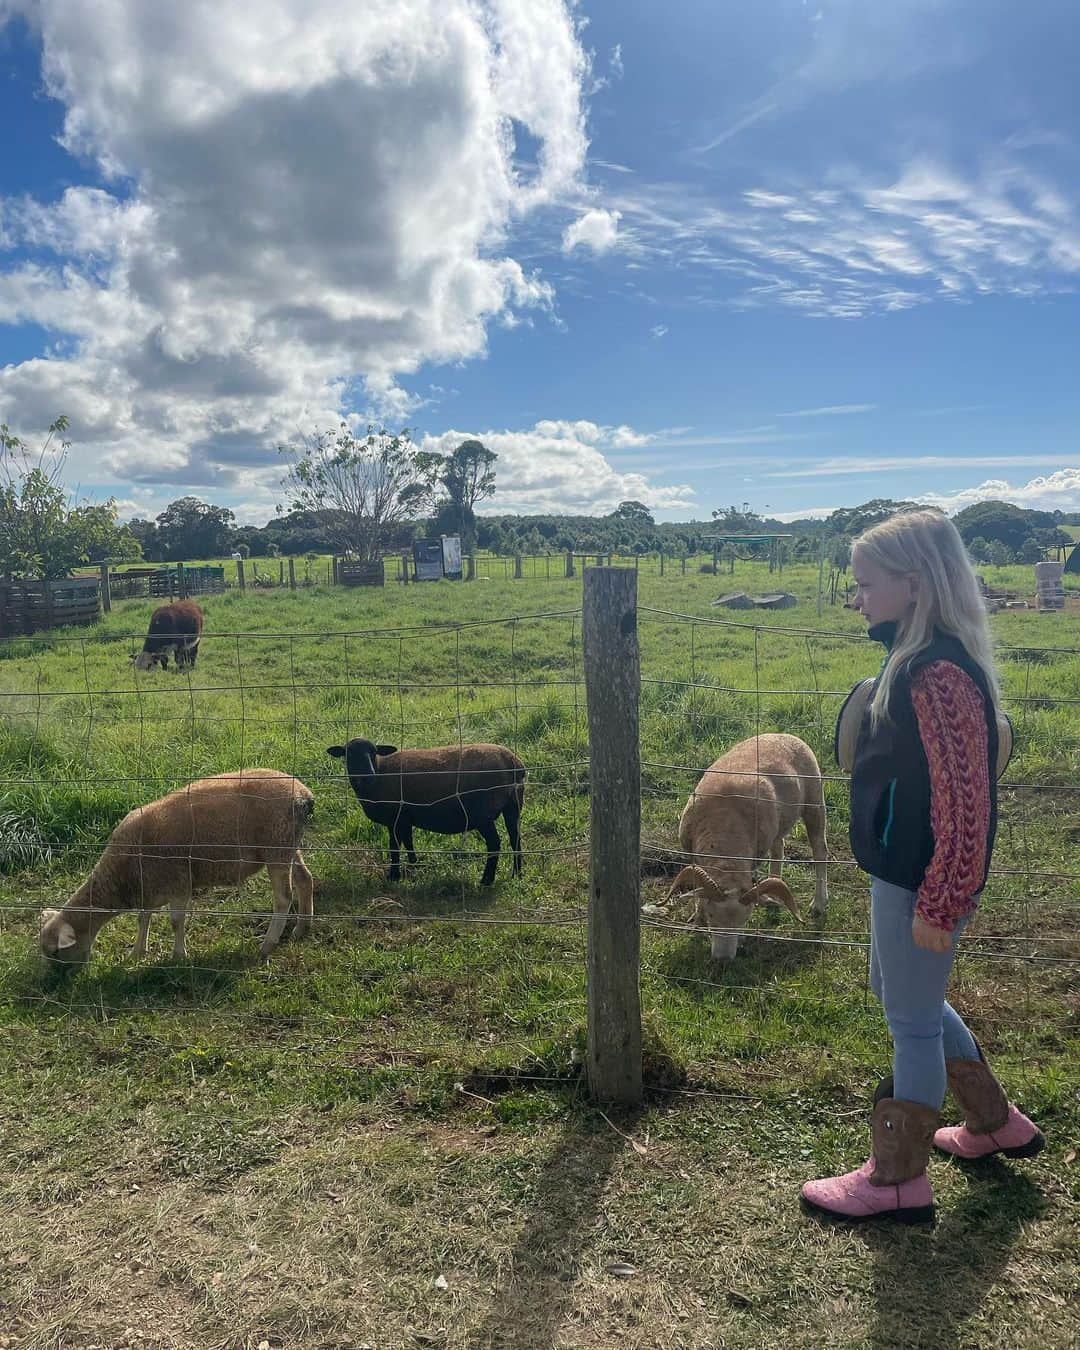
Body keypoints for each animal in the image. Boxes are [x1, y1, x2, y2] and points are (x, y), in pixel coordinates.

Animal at [38, 766, 315, 966]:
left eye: (55, 953)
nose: (55, 985)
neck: (120, 877)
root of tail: (303, 794)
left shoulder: (179, 882)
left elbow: (175, 921)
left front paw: (179, 956)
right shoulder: (148, 888)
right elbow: (143, 918)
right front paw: (137, 952)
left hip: (275, 848)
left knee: (283, 898)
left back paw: (267, 946)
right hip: (288, 845)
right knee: (305, 879)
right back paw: (301, 929)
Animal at [666, 739, 826, 961]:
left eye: (744, 920)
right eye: (711, 915)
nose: (723, 960)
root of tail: (788, 736)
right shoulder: (692, 856)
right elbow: (699, 893)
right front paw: (697, 921)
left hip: (814, 804)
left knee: (820, 852)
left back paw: (819, 903)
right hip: (778, 826)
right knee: (779, 850)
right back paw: (773, 895)